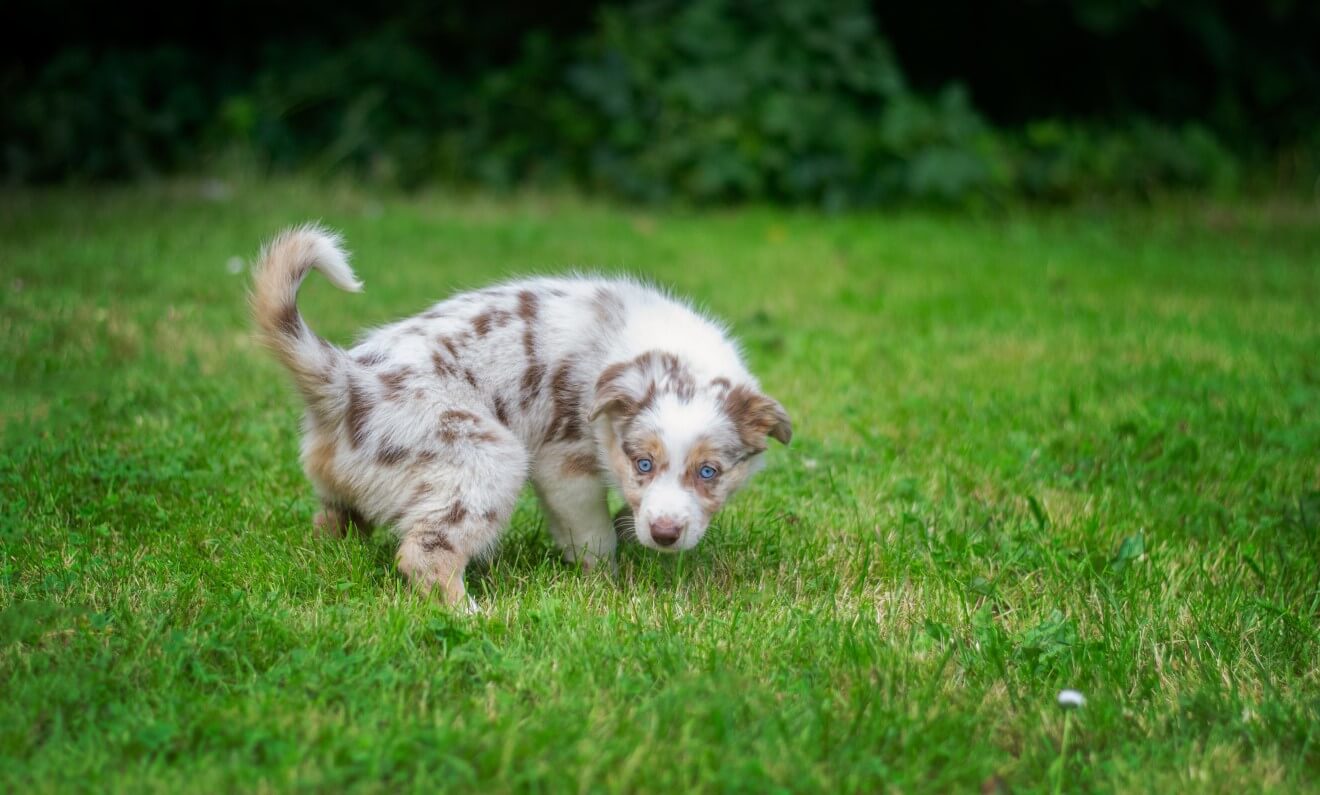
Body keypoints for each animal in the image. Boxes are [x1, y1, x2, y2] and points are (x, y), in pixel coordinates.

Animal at [250, 223, 786, 607]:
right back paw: (474, 614)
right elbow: (592, 536)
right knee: (425, 554)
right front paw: (608, 586)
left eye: (709, 472)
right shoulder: (564, 463)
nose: (665, 536)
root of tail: (346, 379)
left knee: (333, 523)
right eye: (643, 464)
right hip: (487, 459)